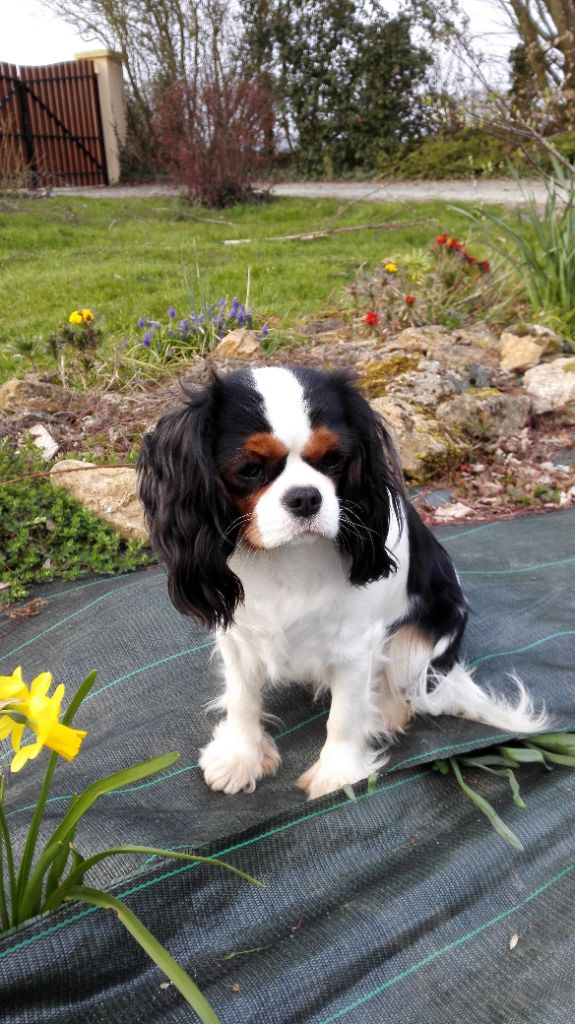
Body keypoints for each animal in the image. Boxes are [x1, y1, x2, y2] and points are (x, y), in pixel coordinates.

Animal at [136, 366, 544, 798]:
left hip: (414, 642)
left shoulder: (355, 645)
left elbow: (345, 715)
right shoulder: (238, 635)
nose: (305, 497)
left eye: (333, 459)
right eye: (249, 469)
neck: (287, 558)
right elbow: (242, 697)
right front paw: (240, 756)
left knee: (404, 693)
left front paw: (337, 776)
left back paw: (383, 713)